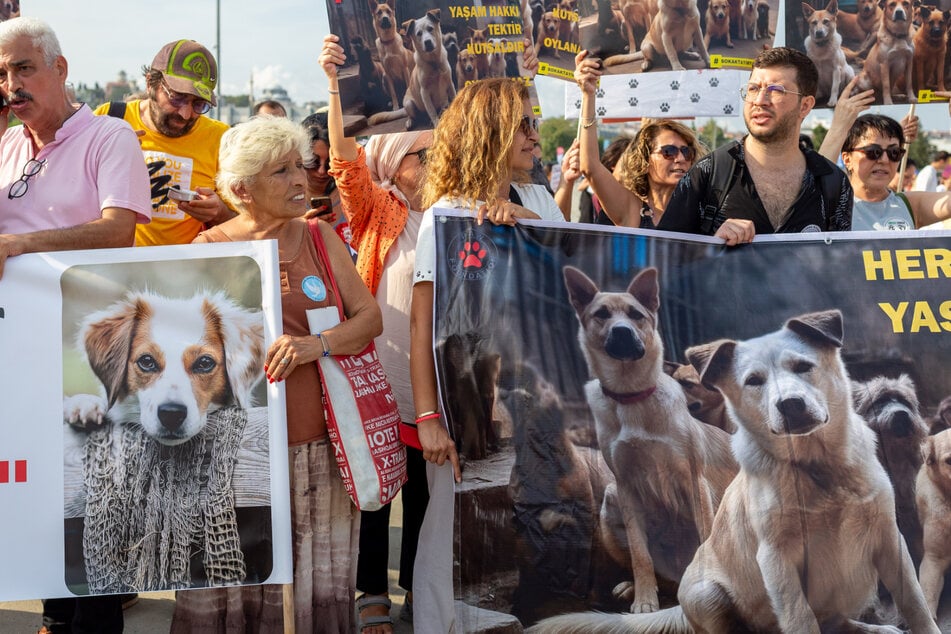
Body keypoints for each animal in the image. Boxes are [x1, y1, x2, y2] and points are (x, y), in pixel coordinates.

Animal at [532, 310, 940, 632]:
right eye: (753, 381)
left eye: (803, 366)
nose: (790, 405)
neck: (819, 469)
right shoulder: (777, 562)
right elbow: (801, 620)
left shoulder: (890, 542)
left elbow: (917, 607)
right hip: (707, 593)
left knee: (838, 622)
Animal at [560, 266, 740, 612]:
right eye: (601, 314)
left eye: (636, 315)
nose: (621, 333)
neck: (633, 397)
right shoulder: (626, 487)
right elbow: (640, 555)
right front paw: (644, 600)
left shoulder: (694, 482)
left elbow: (705, 536)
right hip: (609, 505)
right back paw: (634, 588)